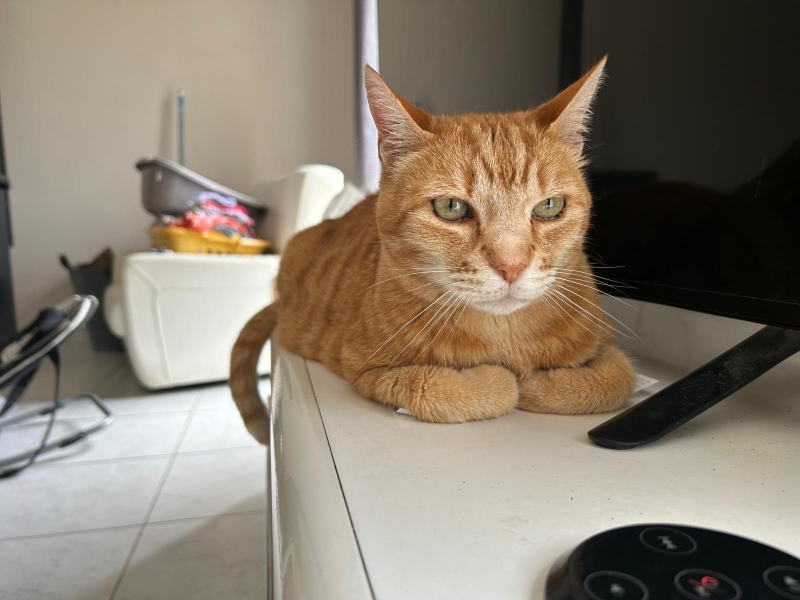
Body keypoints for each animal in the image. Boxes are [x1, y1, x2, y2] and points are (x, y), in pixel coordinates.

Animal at [230, 57, 635, 445]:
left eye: (549, 206)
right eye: (450, 208)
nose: (511, 266)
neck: (505, 338)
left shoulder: (608, 346)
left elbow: (618, 380)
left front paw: (542, 382)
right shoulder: (366, 368)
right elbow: (450, 390)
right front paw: (507, 382)